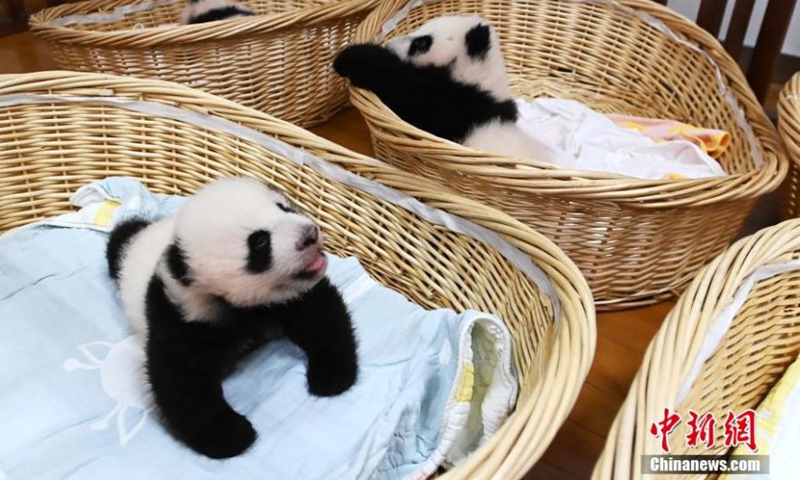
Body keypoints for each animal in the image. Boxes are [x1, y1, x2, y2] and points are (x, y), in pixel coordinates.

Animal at [106, 177, 358, 459]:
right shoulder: (183, 311)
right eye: (259, 242)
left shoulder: (291, 297)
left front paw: (331, 376)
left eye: (284, 208)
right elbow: (182, 375)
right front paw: (233, 435)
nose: (309, 234)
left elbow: (320, 317)